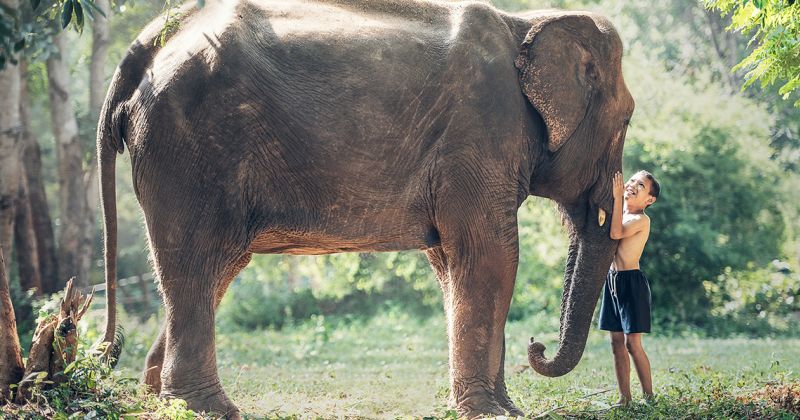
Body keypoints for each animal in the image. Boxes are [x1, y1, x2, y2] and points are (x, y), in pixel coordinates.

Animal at [95, 0, 633, 417]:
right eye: (627, 119)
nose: (537, 347)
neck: (526, 22)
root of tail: (146, 45)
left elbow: (451, 264)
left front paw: (502, 408)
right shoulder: (480, 133)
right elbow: (490, 258)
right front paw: (492, 413)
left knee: (214, 269)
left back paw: (158, 399)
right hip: (189, 148)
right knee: (198, 259)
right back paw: (208, 409)